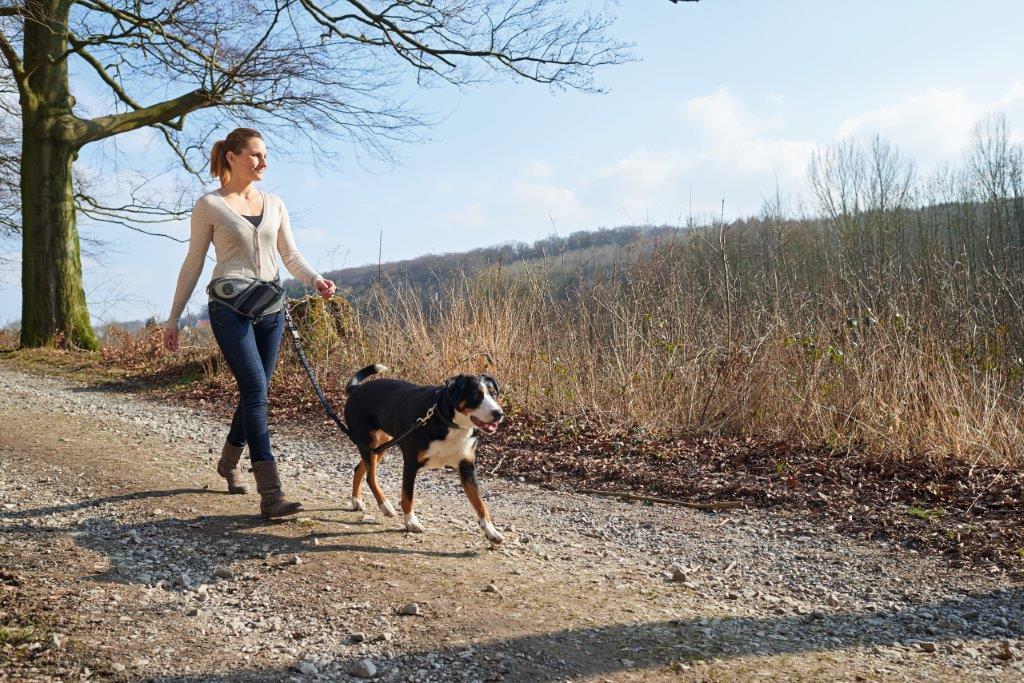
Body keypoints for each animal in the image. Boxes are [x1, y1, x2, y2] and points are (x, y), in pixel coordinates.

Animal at [342, 366, 505, 548]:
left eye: (493, 394)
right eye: (476, 394)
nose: (498, 413)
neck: (446, 421)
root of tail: (356, 389)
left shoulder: (467, 467)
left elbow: (480, 504)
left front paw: (491, 531)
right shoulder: (411, 463)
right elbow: (407, 497)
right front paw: (411, 522)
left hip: (381, 446)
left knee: (359, 469)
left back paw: (356, 500)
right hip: (368, 443)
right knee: (371, 477)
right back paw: (385, 505)